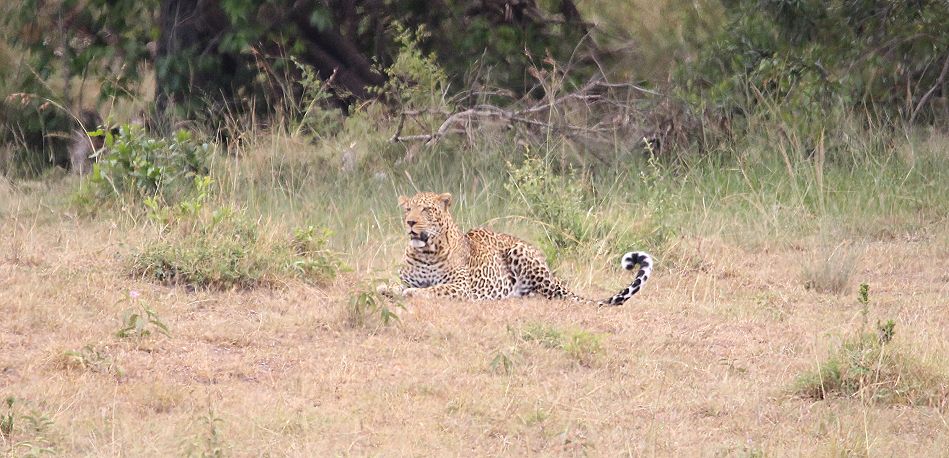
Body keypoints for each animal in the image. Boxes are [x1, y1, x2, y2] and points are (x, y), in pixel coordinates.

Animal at [378, 191, 652, 306]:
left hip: (519, 253)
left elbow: (433, 290)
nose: (410, 222)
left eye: (426, 209)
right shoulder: (407, 277)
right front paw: (386, 288)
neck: (425, 252)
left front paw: (413, 294)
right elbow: (392, 284)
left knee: (551, 294)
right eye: (407, 209)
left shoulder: (460, 286)